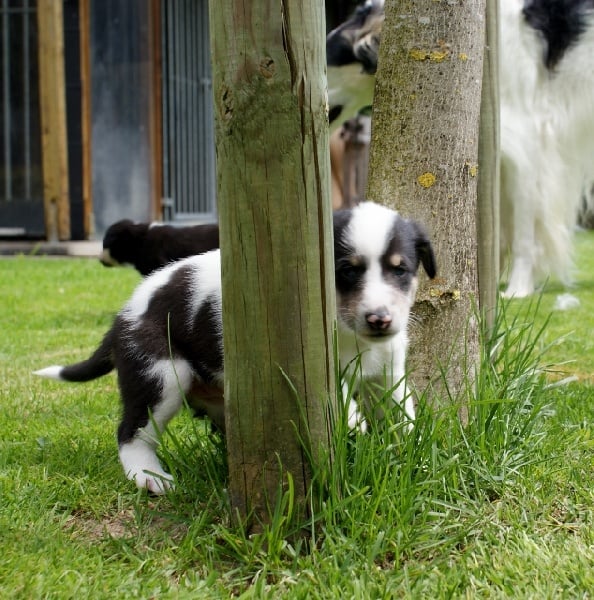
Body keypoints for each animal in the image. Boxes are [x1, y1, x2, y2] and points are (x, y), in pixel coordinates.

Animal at [35, 202, 436, 494]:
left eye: (400, 270)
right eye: (348, 271)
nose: (380, 319)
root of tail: (122, 316)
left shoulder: (389, 375)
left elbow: (404, 417)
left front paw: (416, 459)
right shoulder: (306, 361)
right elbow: (338, 397)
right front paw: (354, 422)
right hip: (160, 374)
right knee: (130, 433)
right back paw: (151, 477)